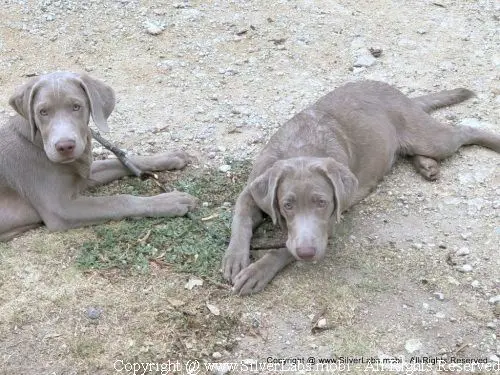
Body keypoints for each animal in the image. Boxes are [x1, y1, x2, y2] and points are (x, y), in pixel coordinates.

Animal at [1, 71, 197, 241]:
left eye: (76, 107)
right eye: (43, 112)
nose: (65, 146)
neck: (37, 142)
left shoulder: (83, 173)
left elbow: (117, 161)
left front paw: (169, 156)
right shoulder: (61, 208)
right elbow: (118, 201)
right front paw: (171, 201)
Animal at [224, 80, 500, 296]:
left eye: (322, 203)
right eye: (287, 205)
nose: (307, 253)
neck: (301, 147)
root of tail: (401, 95)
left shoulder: (330, 222)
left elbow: (283, 250)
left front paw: (257, 271)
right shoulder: (252, 190)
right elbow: (240, 219)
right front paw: (235, 258)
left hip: (431, 138)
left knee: (463, 130)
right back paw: (426, 165)